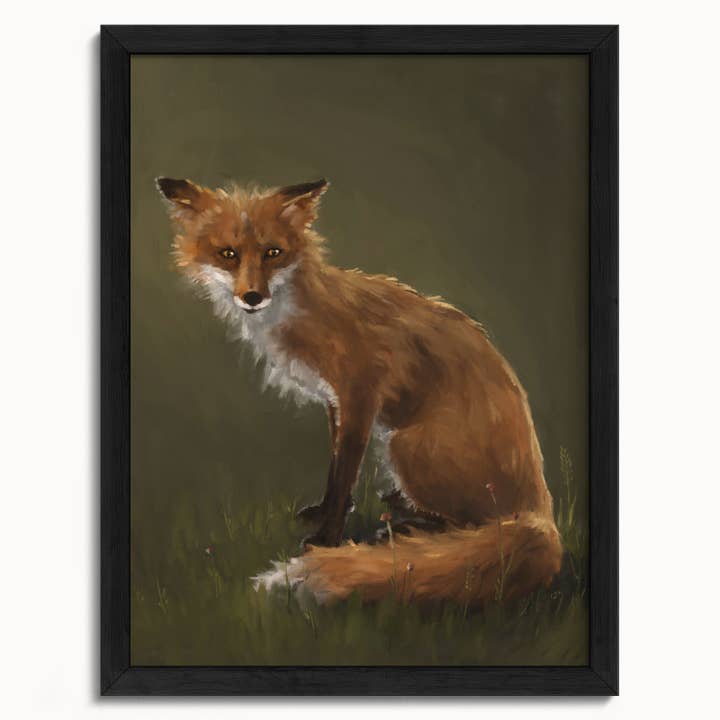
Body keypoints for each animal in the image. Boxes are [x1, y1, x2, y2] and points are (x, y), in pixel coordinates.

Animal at [156, 176, 562, 606]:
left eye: (273, 253)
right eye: (228, 254)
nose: (252, 297)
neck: (303, 311)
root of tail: (541, 509)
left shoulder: (360, 396)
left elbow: (343, 477)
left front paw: (325, 539)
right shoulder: (335, 401)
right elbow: (335, 470)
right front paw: (322, 513)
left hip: (404, 446)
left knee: (478, 526)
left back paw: (408, 528)